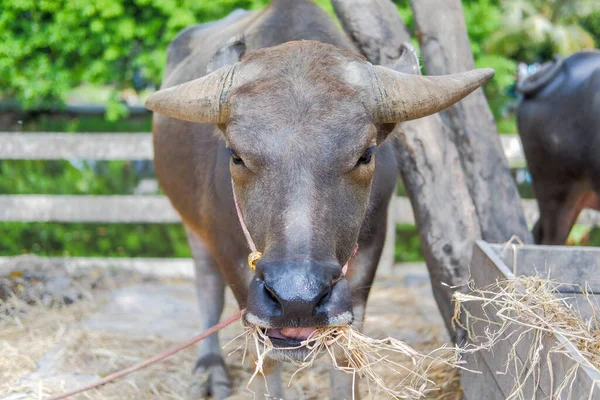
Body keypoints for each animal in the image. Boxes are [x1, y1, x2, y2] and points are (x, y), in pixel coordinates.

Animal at [145, 0, 492, 396]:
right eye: (236, 155)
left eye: (365, 155)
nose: (297, 298)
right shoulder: (231, 255)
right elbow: (266, 360)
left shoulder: (368, 250)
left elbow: (344, 356)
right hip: (192, 225)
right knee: (207, 287)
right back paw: (209, 370)